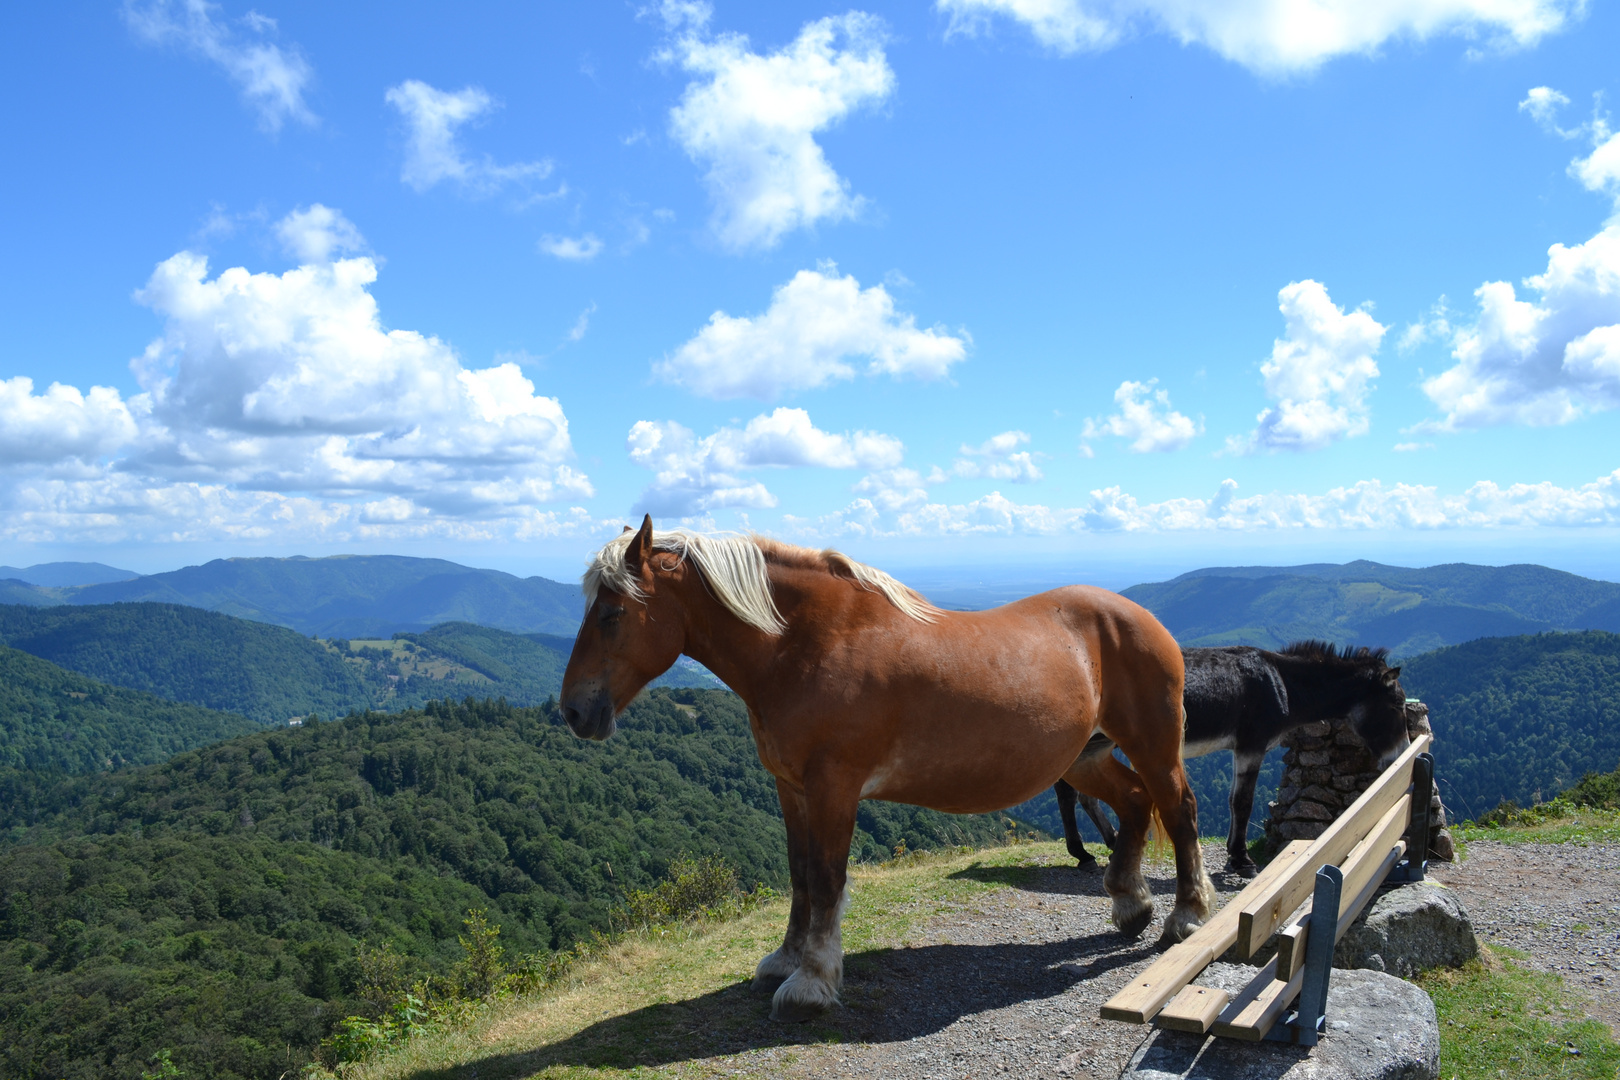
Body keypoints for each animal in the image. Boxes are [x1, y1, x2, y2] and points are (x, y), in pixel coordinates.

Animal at [563, 521, 1211, 1023]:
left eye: (613, 614)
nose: (573, 711)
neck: (807, 643)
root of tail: (1140, 617)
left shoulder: (833, 787)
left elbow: (826, 880)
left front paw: (812, 983)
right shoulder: (791, 788)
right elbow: (799, 876)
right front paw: (784, 961)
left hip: (1153, 747)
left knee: (1178, 810)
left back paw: (1186, 915)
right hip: (1086, 758)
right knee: (1134, 802)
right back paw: (1130, 904)